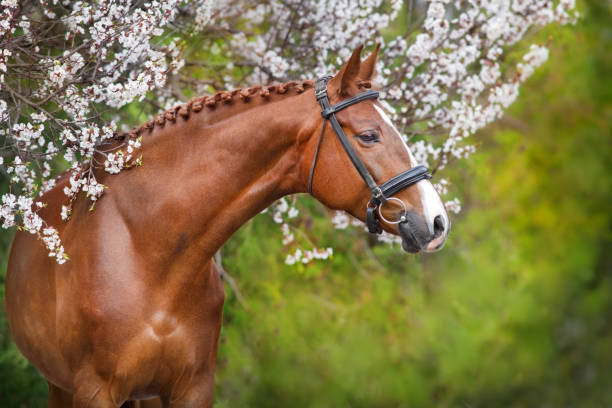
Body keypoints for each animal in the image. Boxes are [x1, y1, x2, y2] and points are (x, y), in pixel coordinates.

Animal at [2, 45, 448, 408]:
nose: (438, 221)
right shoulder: (95, 391)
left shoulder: (193, 388)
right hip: (63, 387)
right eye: (370, 136)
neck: (149, 250)